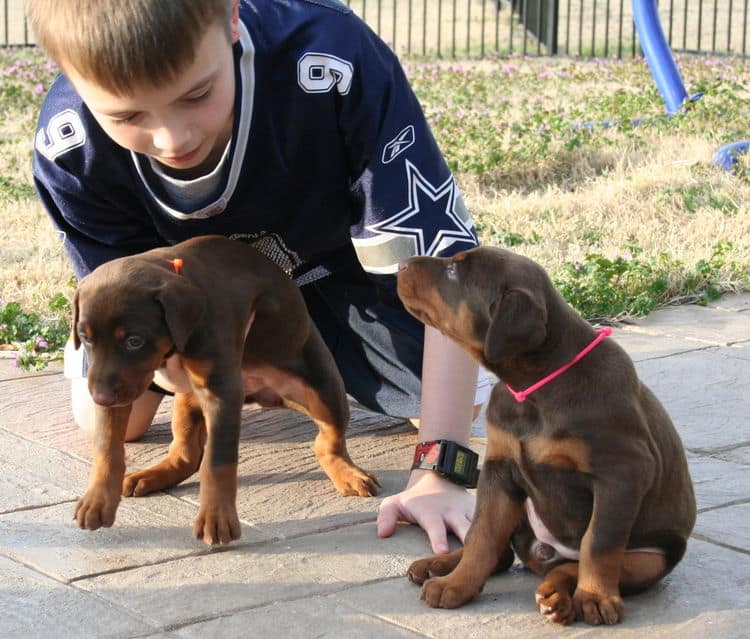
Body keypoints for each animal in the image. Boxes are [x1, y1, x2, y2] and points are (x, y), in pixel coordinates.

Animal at [72, 235, 378, 544]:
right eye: (85, 338)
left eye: (134, 341)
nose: (100, 397)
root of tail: (262, 394)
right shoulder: (123, 390)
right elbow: (107, 447)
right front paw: (97, 500)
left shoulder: (221, 393)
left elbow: (217, 462)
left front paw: (216, 518)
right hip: (186, 399)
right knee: (186, 454)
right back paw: (152, 475)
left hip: (324, 391)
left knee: (328, 441)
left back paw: (348, 474)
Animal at [400, 248, 700, 628]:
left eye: (454, 270)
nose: (401, 264)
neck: (534, 387)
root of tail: (542, 556)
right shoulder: (500, 470)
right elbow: (482, 534)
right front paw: (457, 584)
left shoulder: (623, 472)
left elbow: (598, 542)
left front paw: (595, 597)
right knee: (499, 551)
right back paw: (440, 566)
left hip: (651, 558)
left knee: (572, 565)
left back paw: (560, 598)